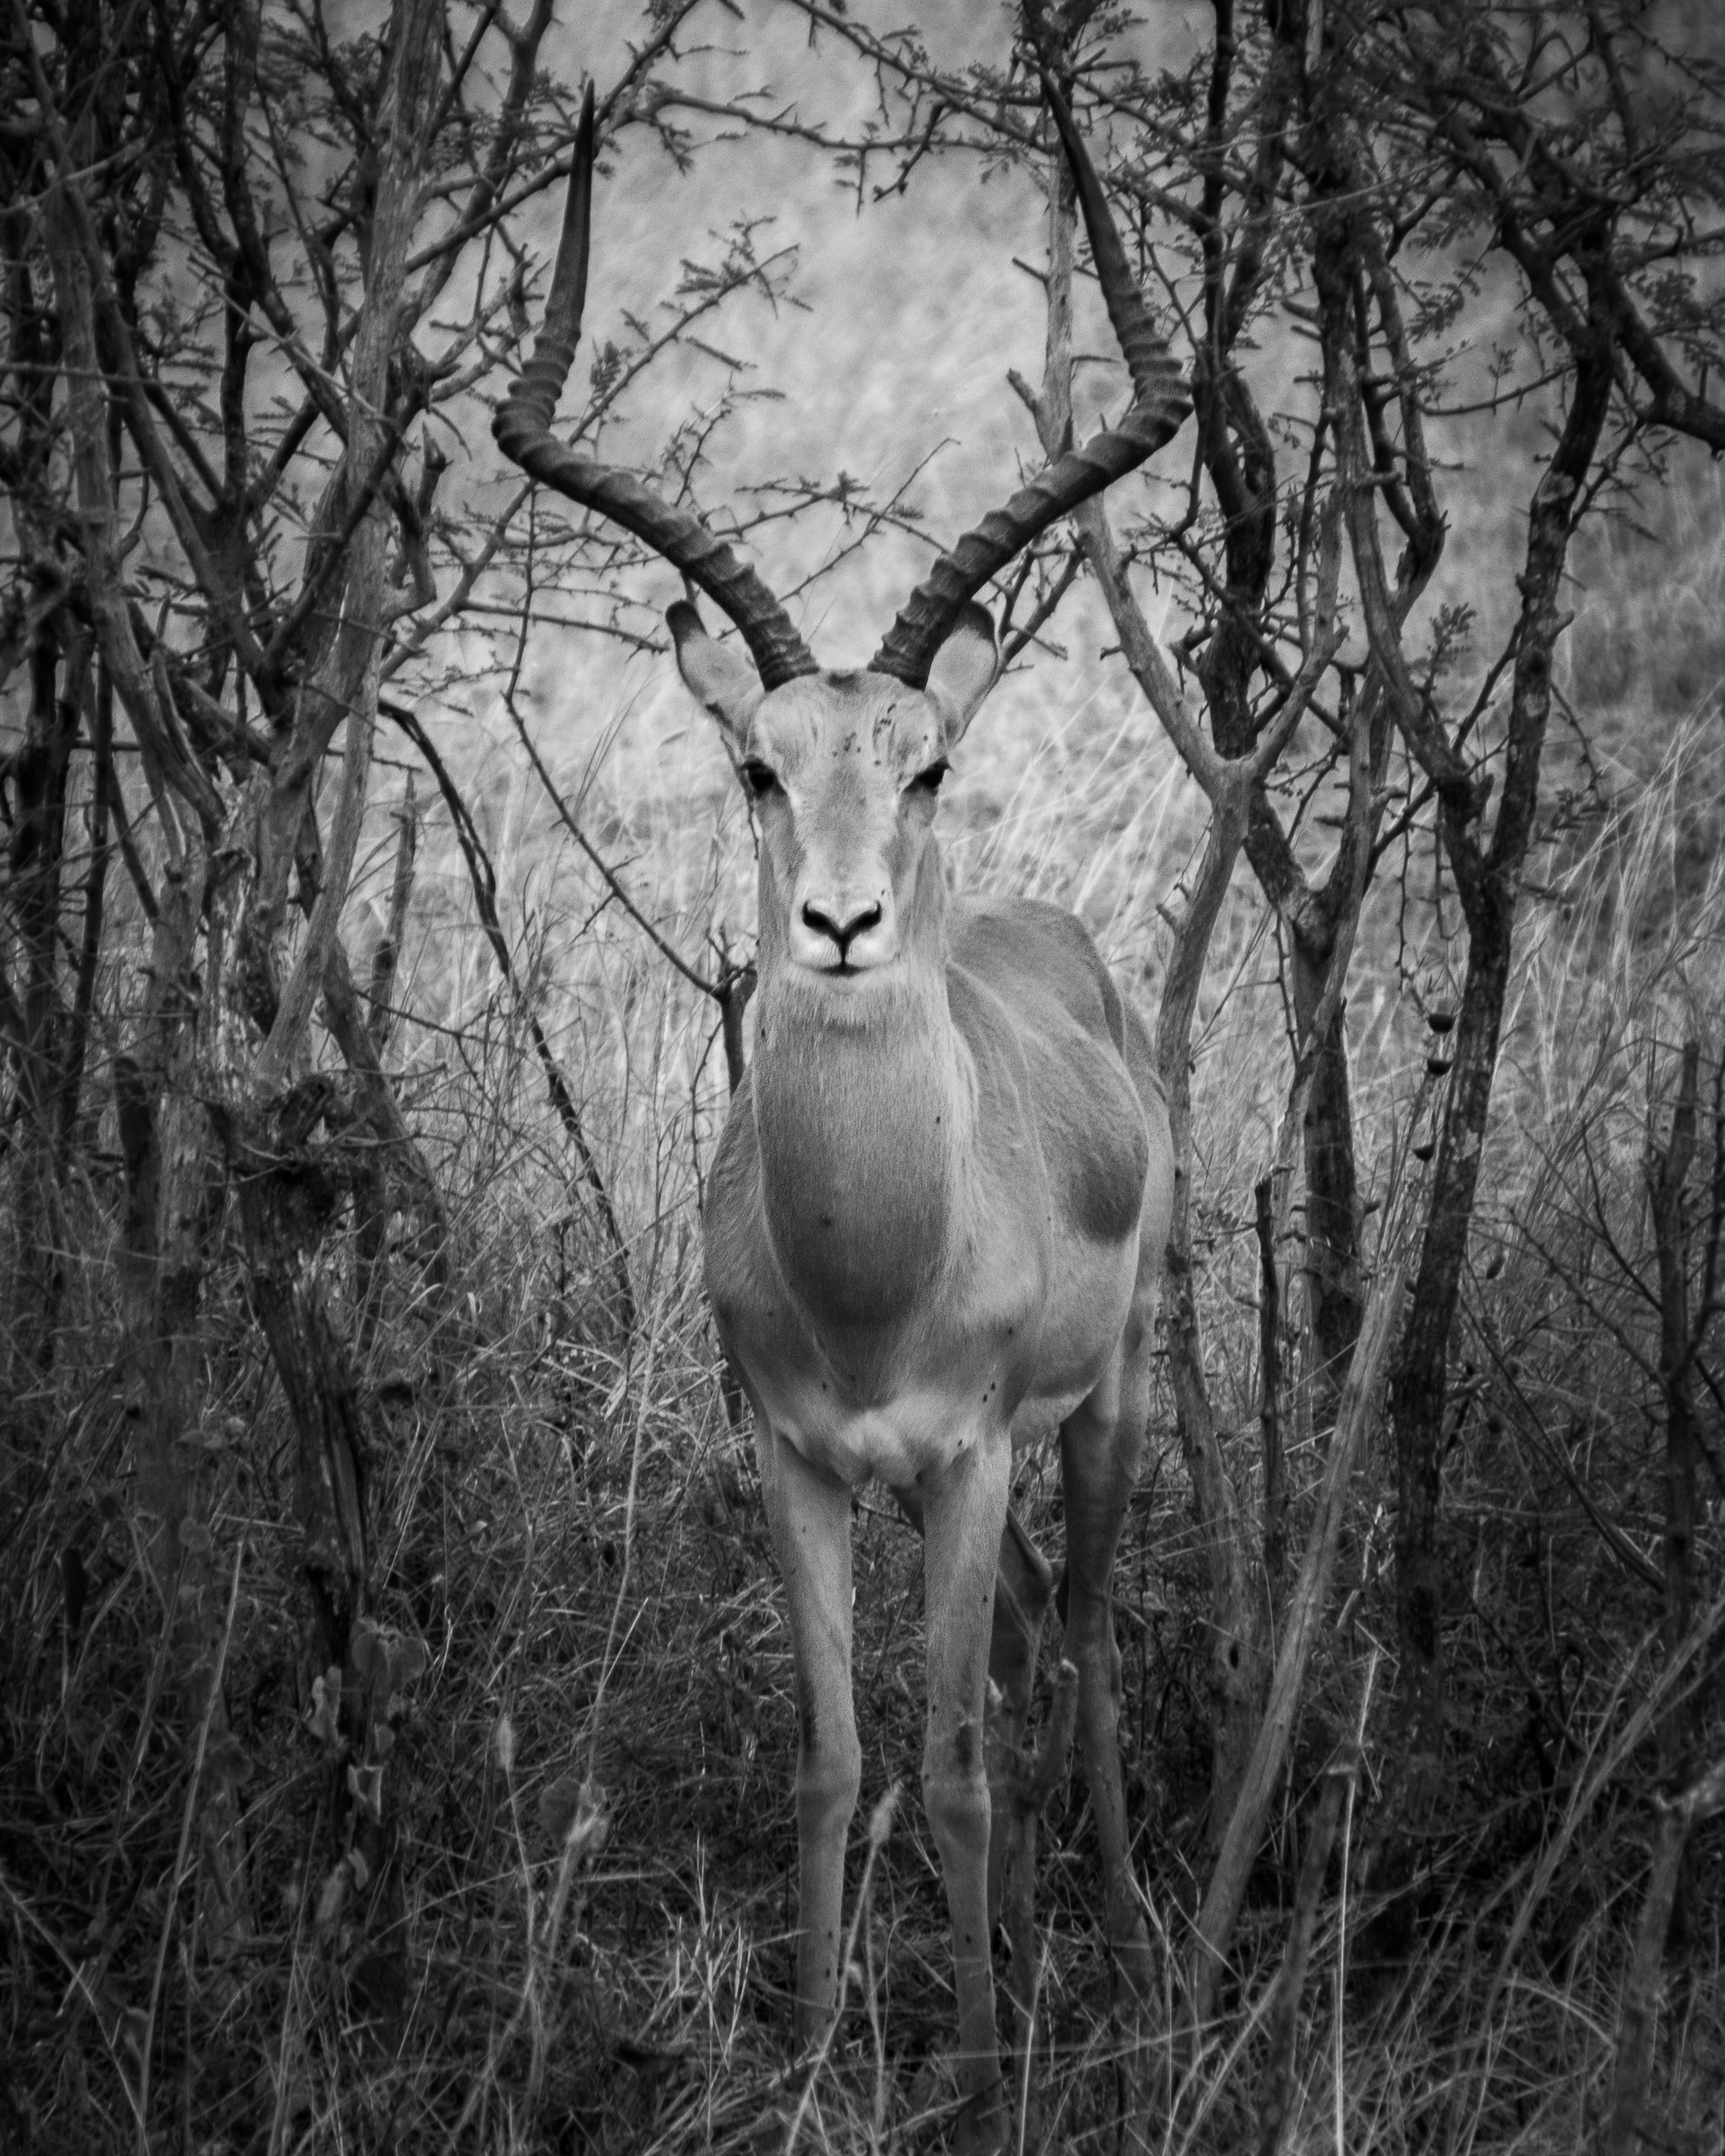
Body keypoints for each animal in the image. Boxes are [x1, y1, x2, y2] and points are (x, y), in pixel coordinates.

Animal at [498, 75, 1190, 2147]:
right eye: (755, 761)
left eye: (928, 758)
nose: (838, 921)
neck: (875, 1258)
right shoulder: (793, 1458)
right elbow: (831, 1753)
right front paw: (809, 2053)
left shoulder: (961, 1458)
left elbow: (945, 1758)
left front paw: (967, 2071)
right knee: (1030, 1642)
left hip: (1105, 1411)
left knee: (1085, 1638)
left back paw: (1124, 1936)